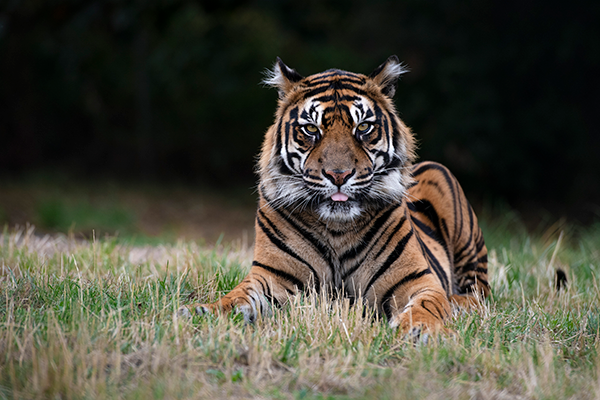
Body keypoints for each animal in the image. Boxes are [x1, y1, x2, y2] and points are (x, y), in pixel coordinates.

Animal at [180, 56, 490, 334]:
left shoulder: (417, 280)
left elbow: (429, 304)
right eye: (311, 129)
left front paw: (421, 329)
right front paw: (203, 312)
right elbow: (236, 297)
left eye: (363, 127)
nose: (338, 175)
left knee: (480, 294)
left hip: (447, 191)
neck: (337, 228)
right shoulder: (271, 276)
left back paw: (458, 302)